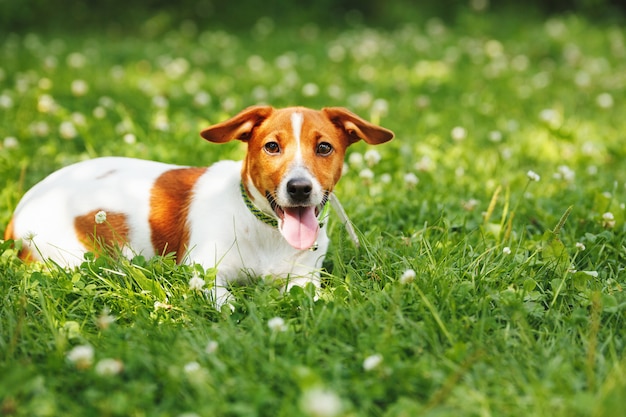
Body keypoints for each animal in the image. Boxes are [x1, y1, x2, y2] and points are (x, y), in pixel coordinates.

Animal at [4, 104, 392, 306]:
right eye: (272, 147)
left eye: (324, 147)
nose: (299, 188)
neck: (266, 232)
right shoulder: (204, 272)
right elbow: (228, 304)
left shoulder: (304, 277)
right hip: (72, 257)